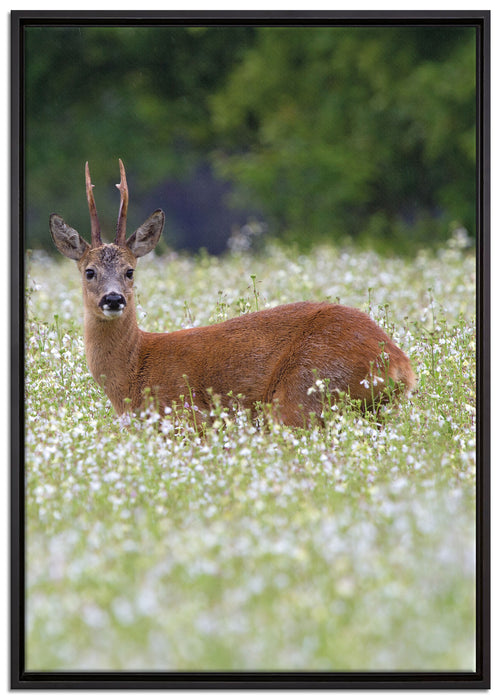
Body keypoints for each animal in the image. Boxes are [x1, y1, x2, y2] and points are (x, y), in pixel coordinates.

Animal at [49, 160, 416, 429]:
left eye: (130, 271)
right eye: (89, 271)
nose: (113, 299)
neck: (135, 371)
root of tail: (400, 364)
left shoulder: (187, 416)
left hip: (303, 392)